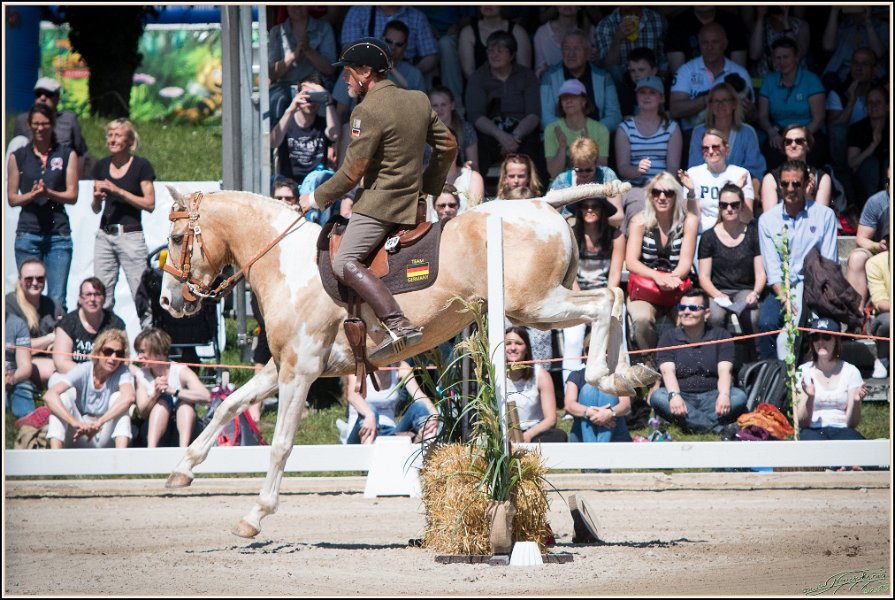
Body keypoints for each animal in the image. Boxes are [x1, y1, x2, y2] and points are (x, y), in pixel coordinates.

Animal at [159, 182, 658, 538]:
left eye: (178, 236)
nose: (168, 303)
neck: (287, 264)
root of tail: (540, 202)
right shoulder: (281, 366)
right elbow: (228, 405)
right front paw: (182, 470)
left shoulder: (300, 371)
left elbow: (281, 445)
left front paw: (255, 514)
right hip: (542, 303)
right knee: (614, 298)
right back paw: (631, 373)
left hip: (535, 305)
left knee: (606, 301)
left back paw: (609, 376)